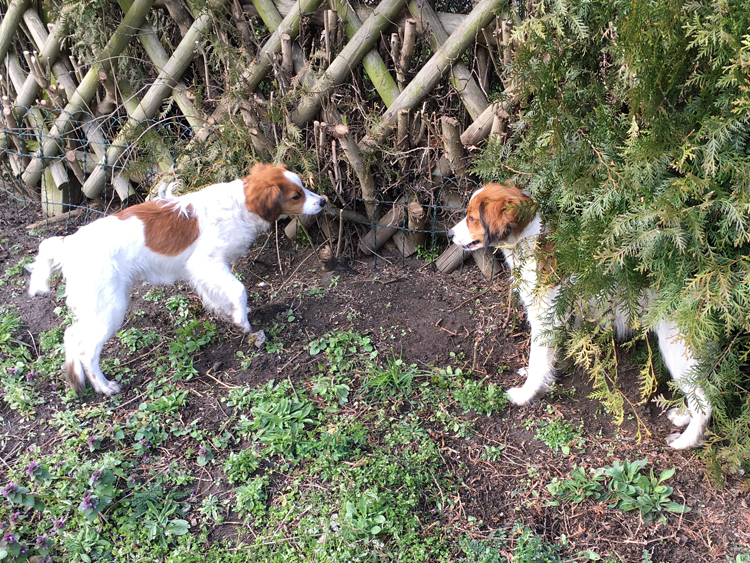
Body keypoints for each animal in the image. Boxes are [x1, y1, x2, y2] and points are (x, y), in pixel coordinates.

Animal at [27, 162, 326, 396]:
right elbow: (239, 289)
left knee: (71, 334)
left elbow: (217, 294)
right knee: (86, 350)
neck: (238, 204)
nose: (323, 200)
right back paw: (104, 386)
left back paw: (76, 380)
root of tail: (68, 244)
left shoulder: (205, 270)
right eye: (297, 195)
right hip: (110, 306)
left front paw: (226, 312)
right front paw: (242, 320)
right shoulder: (206, 262)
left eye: (303, 188)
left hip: (96, 306)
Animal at [450, 183, 712, 452]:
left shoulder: (546, 319)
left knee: (705, 402)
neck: (531, 243)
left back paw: (685, 441)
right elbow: (549, 358)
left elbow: (538, 360)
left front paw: (525, 394)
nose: (449, 235)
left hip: (675, 347)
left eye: (471, 218)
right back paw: (682, 416)